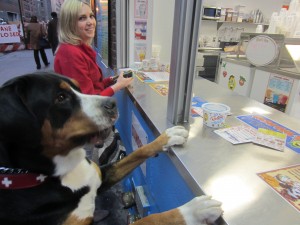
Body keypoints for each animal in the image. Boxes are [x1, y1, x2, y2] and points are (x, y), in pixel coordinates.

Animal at [0, 73, 221, 224]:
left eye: (77, 87)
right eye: (61, 97)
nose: (112, 103)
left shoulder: (101, 176)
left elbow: (136, 153)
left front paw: (167, 137)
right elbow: (153, 218)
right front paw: (193, 210)